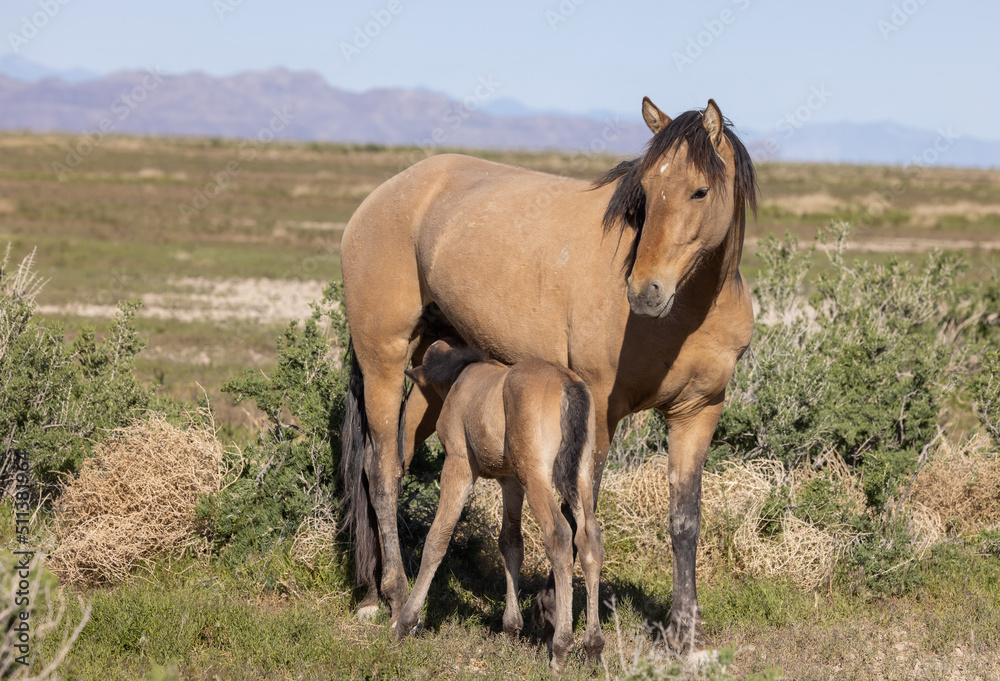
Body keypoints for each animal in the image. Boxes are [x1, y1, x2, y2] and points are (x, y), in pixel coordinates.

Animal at [395, 339, 604, 671]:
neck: (463, 376)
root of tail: (568, 384)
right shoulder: (510, 481)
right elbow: (510, 543)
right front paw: (511, 627)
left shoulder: (458, 464)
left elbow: (438, 538)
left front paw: (406, 622)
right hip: (581, 473)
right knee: (589, 539)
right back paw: (593, 648)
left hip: (536, 474)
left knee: (559, 535)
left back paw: (560, 648)